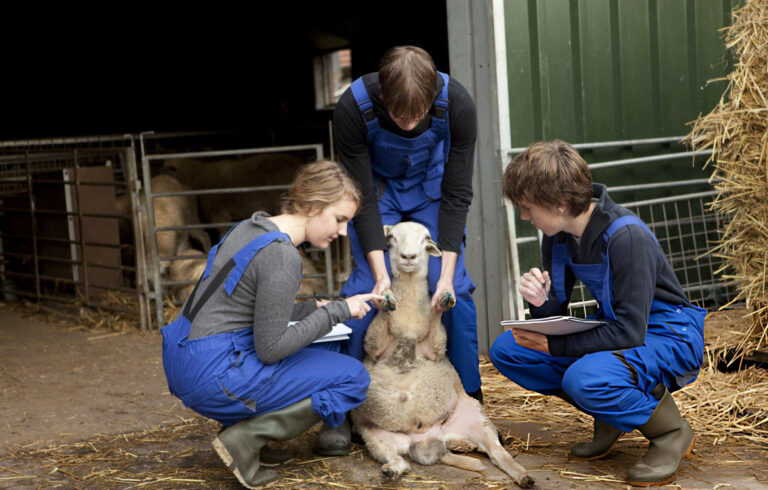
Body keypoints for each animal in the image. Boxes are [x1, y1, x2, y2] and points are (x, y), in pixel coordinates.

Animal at [350, 222, 533, 488]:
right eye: (391, 237)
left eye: (425, 238)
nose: (408, 257)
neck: (408, 324)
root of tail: (427, 439)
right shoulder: (374, 348)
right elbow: (382, 320)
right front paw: (385, 299)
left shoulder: (435, 348)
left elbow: (436, 323)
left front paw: (441, 301)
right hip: (374, 436)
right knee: (398, 460)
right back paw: (391, 470)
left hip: (476, 417)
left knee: (497, 452)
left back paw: (523, 476)